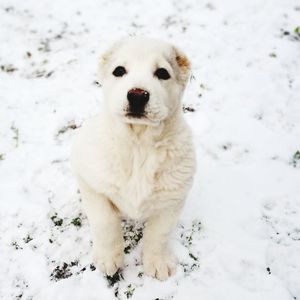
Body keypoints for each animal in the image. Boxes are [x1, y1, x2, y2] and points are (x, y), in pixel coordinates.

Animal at [71, 37, 196, 282]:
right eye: (119, 71)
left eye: (162, 73)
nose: (137, 95)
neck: (138, 146)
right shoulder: (89, 182)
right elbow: (105, 221)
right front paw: (109, 258)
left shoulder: (173, 198)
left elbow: (159, 233)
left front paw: (157, 262)